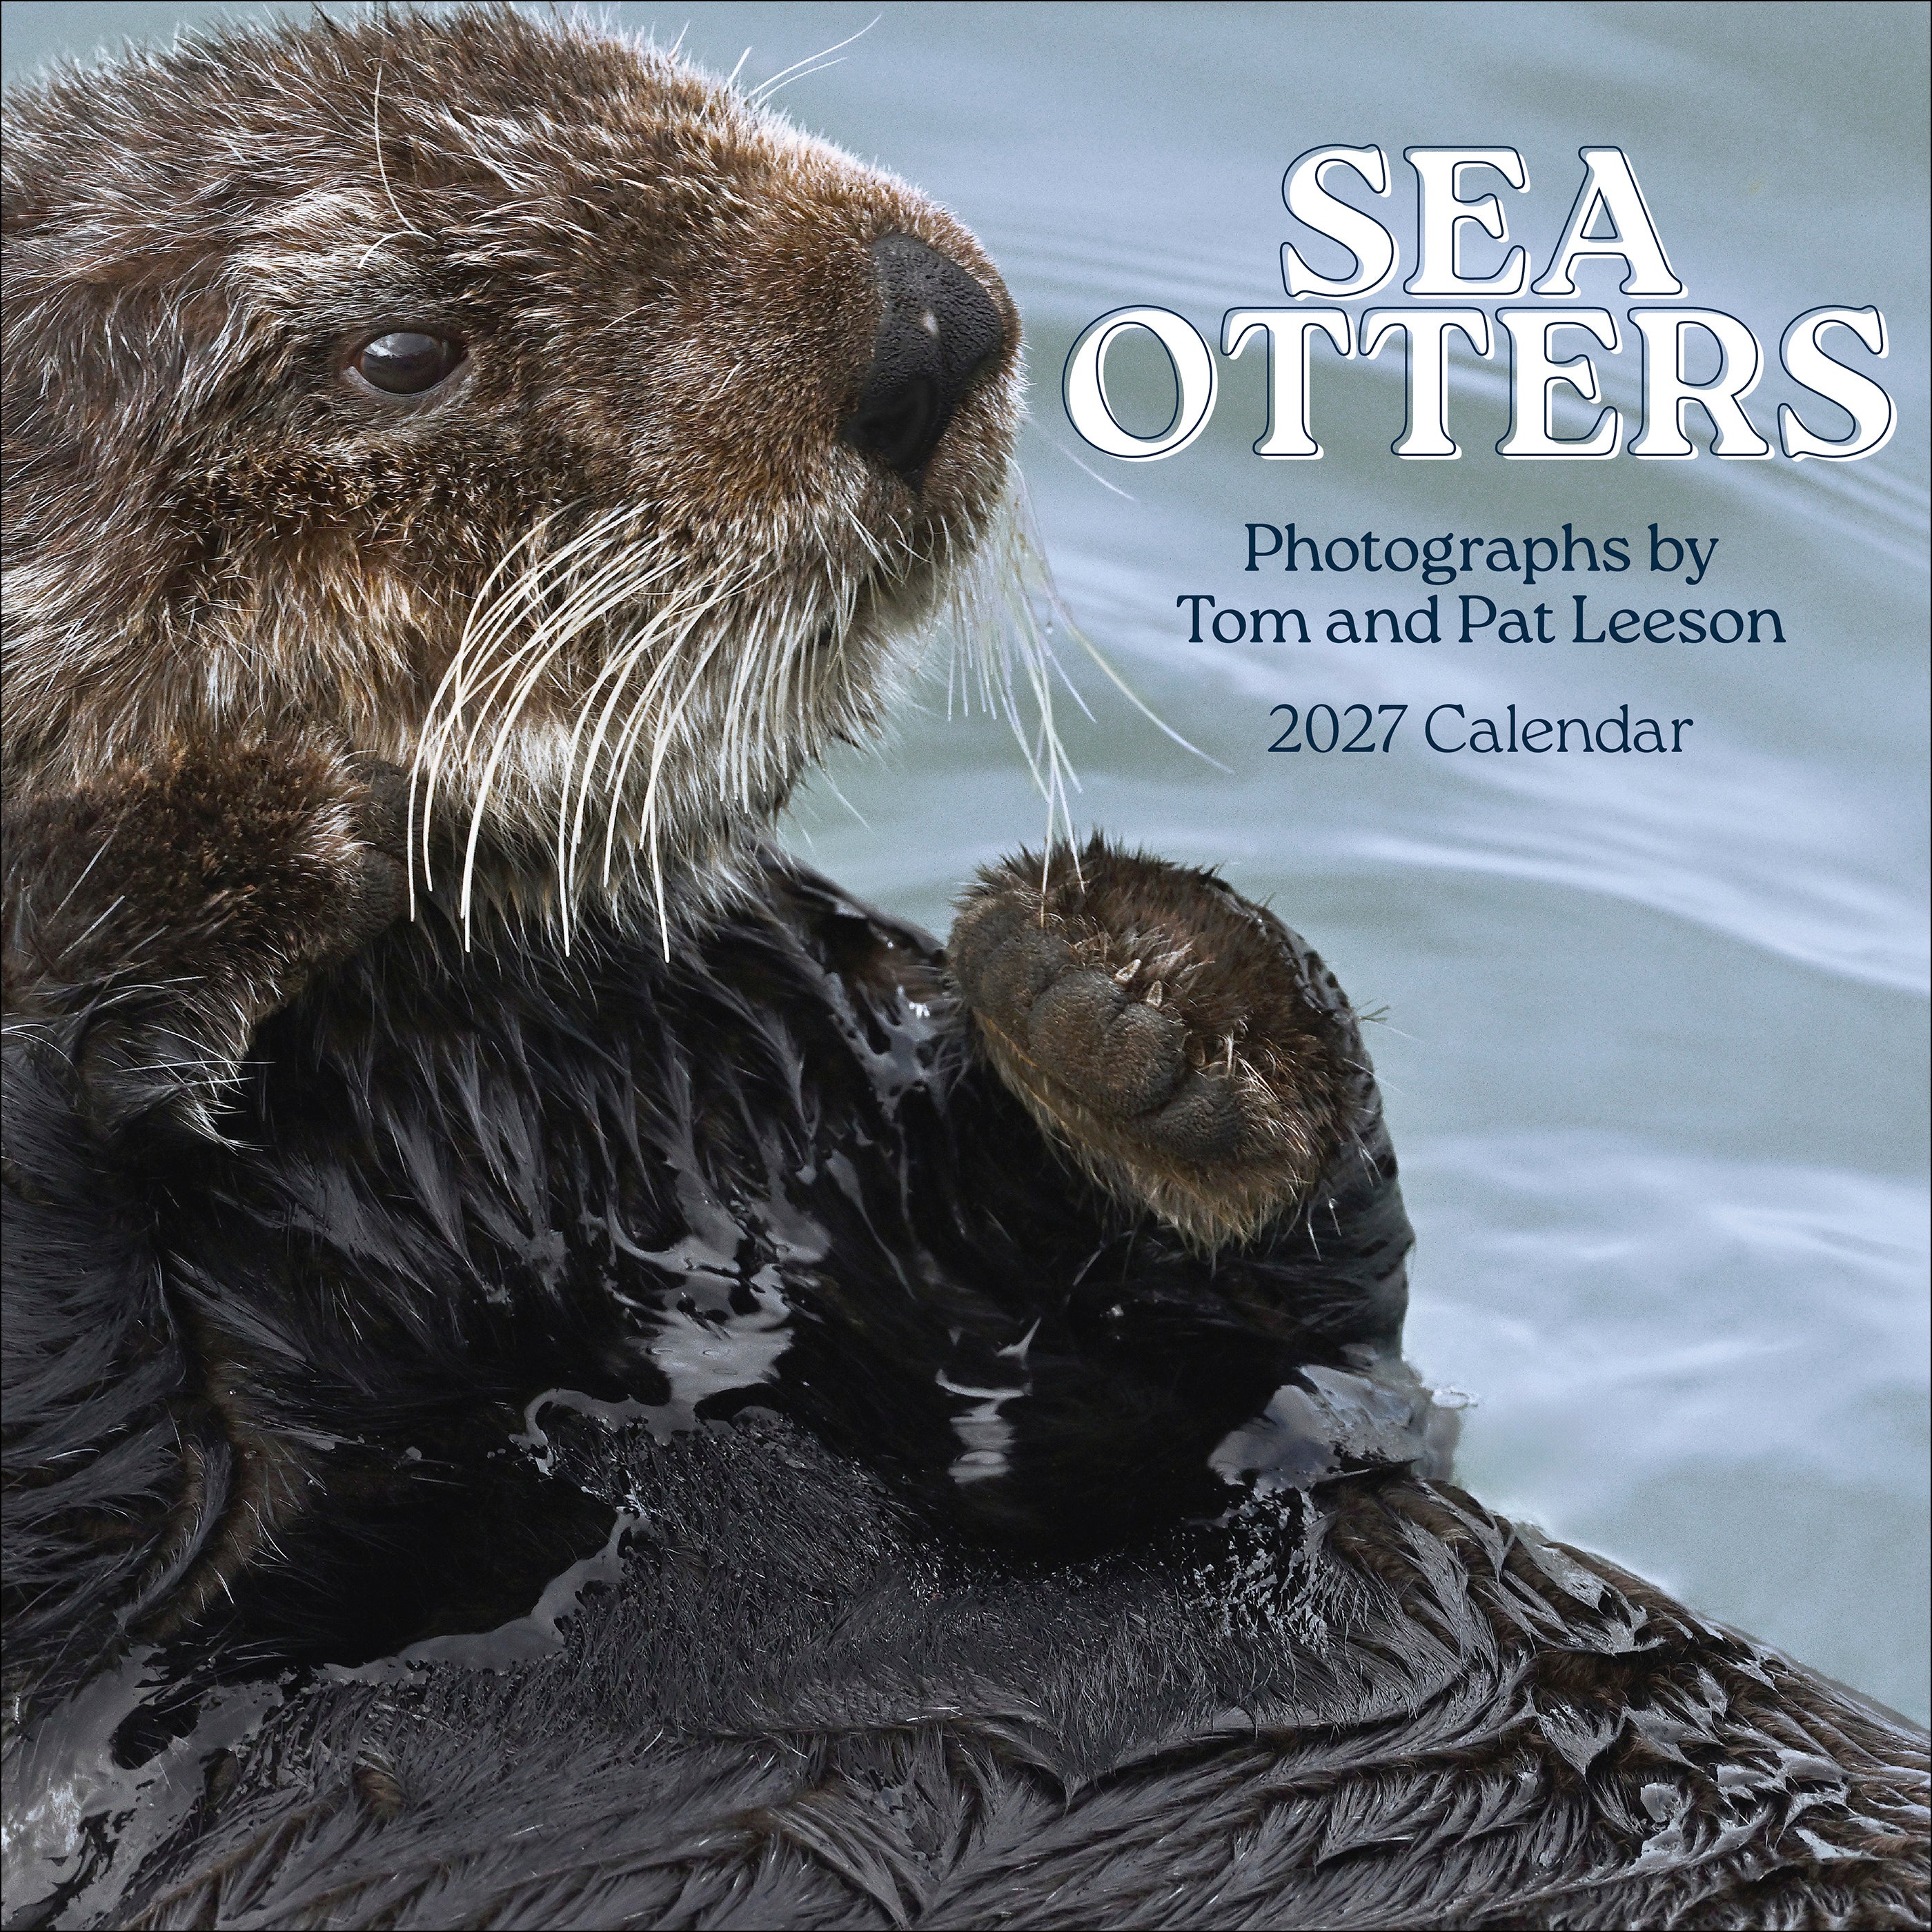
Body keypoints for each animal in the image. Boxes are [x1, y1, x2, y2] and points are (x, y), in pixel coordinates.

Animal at [1, 11, 1924, 1929]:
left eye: (677, 90)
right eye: (399, 352)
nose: (928, 317)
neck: (460, 1111)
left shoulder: (779, 1088)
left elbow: (1115, 1392)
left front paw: (1146, 994)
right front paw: (219, 840)